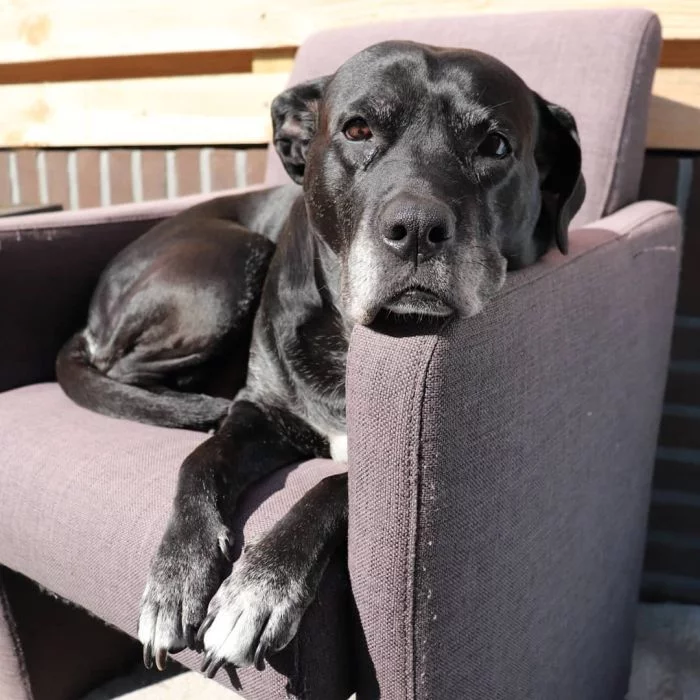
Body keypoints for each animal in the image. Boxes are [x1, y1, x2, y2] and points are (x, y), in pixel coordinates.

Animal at [54, 41, 584, 676]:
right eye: (357, 130)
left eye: (496, 145)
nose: (416, 229)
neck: (353, 338)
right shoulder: (260, 410)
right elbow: (201, 461)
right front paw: (175, 577)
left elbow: (336, 485)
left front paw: (258, 588)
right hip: (233, 261)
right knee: (122, 370)